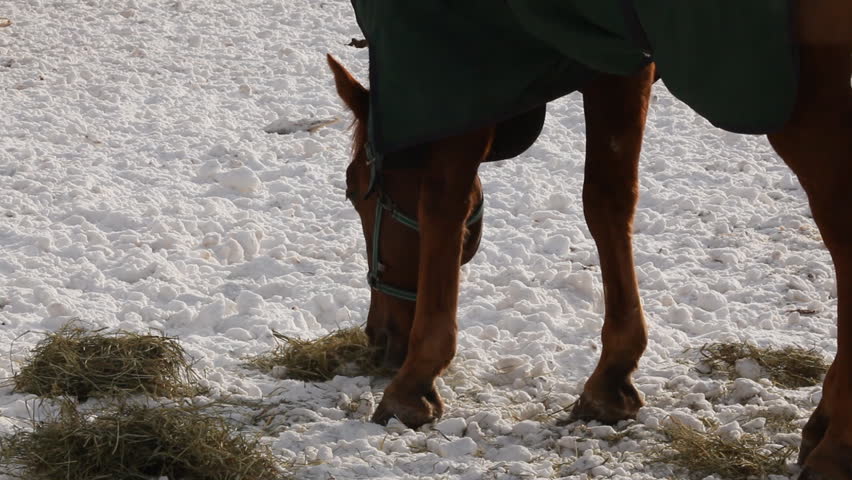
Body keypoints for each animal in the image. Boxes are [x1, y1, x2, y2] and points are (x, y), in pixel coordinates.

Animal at [328, 2, 851, 477]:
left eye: (354, 189)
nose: (378, 336)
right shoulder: (616, 54)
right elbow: (608, 198)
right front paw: (612, 375)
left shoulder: (462, 61)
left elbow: (444, 201)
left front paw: (414, 381)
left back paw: (835, 446)